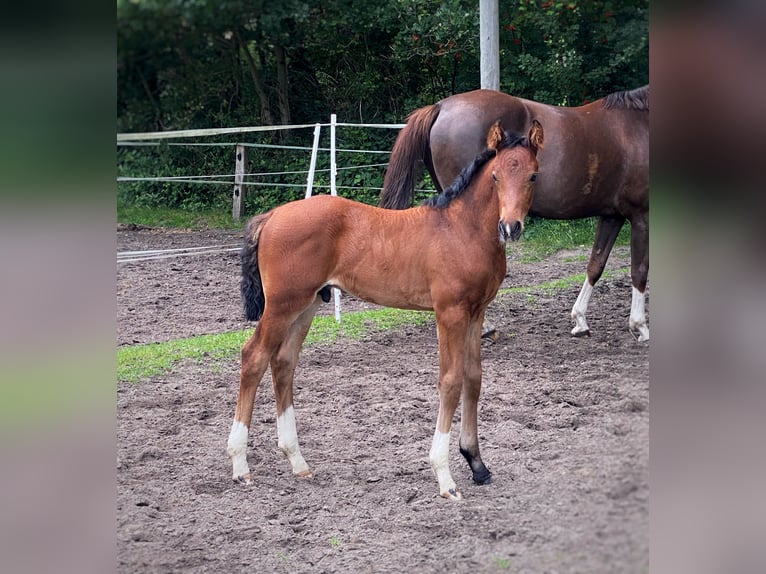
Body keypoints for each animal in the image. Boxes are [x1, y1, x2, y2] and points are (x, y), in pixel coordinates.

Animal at [228, 120, 544, 500]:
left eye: (533, 176)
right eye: (495, 176)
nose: (510, 227)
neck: (461, 229)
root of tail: (273, 215)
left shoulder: (476, 312)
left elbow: (473, 378)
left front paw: (477, 465)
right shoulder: (450, 313)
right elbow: (451, 381)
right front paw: (445, 478)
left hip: (305, 305)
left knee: (283, 362)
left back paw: (297, 461)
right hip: (282, 305)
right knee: (254, 357)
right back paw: (240, 466)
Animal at [380, 86, 652, 342]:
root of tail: (441, 106)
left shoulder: (612, 215)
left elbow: (596, 264)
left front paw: (580, 321)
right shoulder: (642, 215)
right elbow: (639, 270)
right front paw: (640, 326)